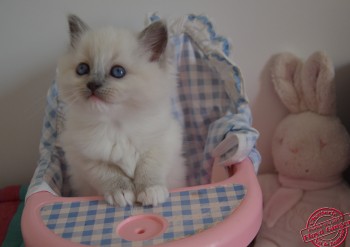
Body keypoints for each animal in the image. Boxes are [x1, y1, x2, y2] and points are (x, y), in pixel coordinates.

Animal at [57, 14, 186, 206]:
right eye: (82, 69)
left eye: (118, 71)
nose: (92, 85)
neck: (116, 125)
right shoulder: (85, 157)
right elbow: (109, 173)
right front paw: (122, 194)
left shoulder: (161, 144)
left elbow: (149, 170)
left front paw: (151, 192)